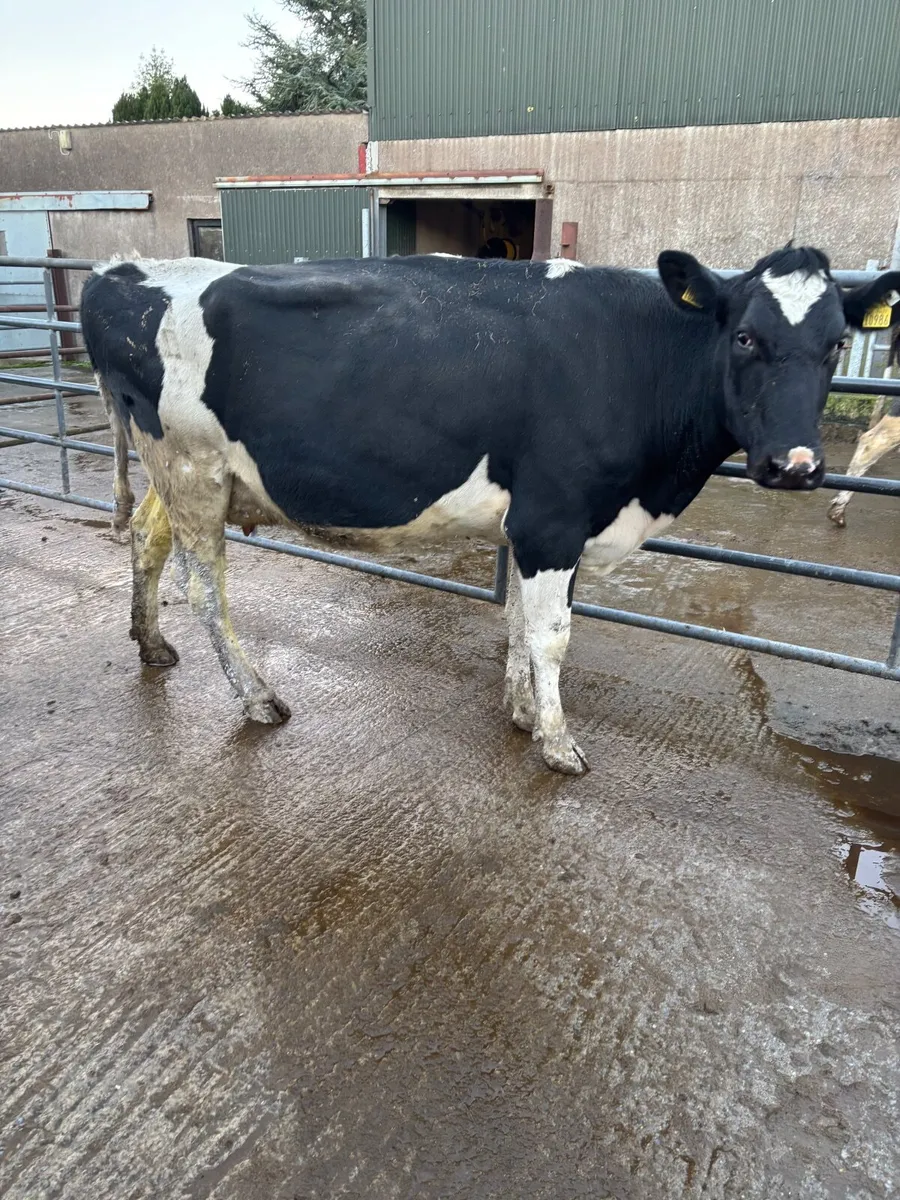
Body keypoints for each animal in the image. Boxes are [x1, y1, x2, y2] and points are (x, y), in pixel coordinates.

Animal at [80, 246, 900, 774]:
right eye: (745, 335)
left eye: (836, 344)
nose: (796, 465)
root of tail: (118, 269)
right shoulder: (553, 519)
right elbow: (551, 636)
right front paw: (558, 744)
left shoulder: (544, 527)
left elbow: (519, 625)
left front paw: (522, 713)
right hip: (191, 467)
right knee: (206, 592)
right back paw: (257, 698)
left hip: (185, 476)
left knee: (147, 540)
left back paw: (151, 644)